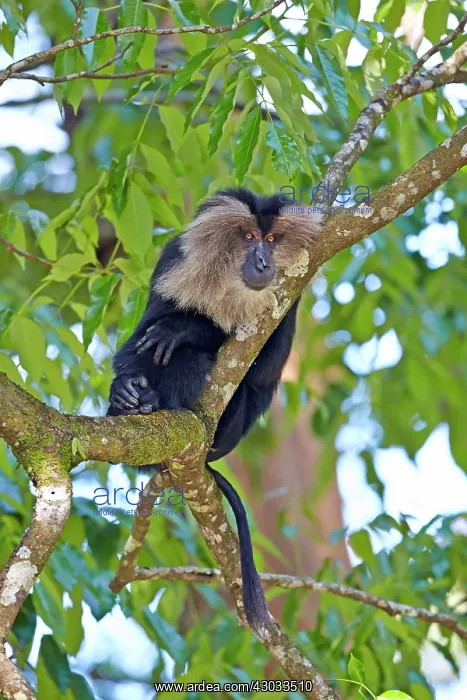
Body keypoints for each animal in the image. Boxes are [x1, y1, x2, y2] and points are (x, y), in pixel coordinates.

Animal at [107, 188, 322, 630]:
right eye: (248, 237)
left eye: (271, 240)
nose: (263, 262)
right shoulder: (173, 261)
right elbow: (138, 339)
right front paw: (124, 388)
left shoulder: (291, 296)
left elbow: (263, 368)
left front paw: (185, 329)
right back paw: (132, 403)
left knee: (198, 362)